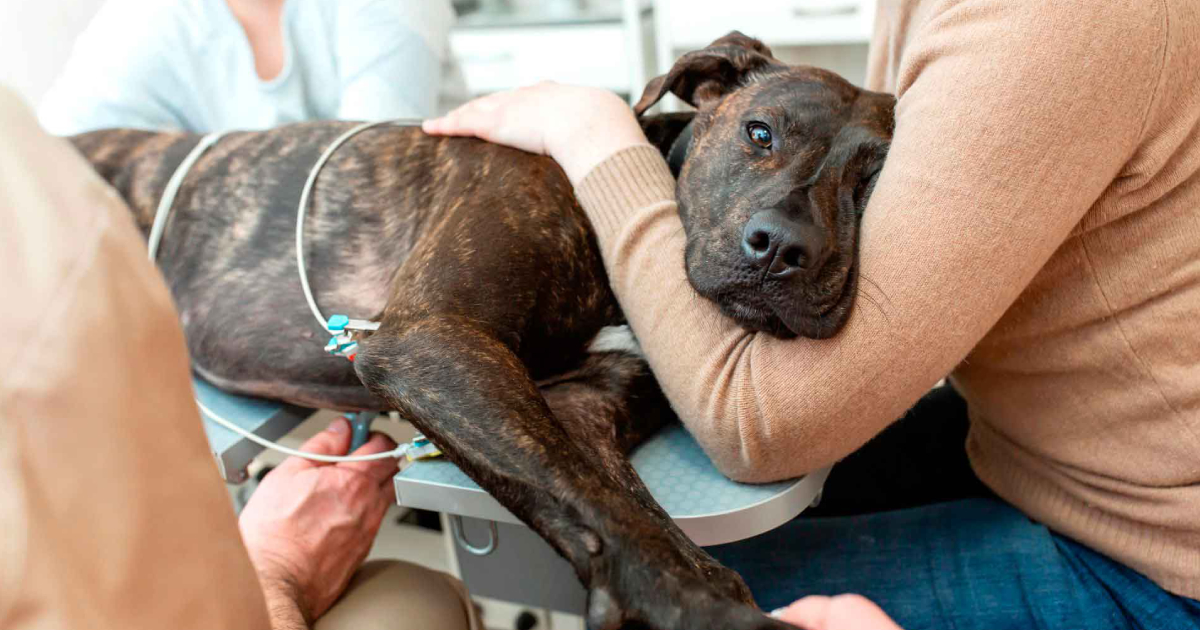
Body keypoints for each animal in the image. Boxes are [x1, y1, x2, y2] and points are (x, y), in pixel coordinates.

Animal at [68, 33, 892, 628]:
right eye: (761, 133)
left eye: (872, 181)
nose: (782, 249)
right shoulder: (432, 340)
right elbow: (608, 508)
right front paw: (709, 611)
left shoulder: (579, 406)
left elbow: (620, 507)